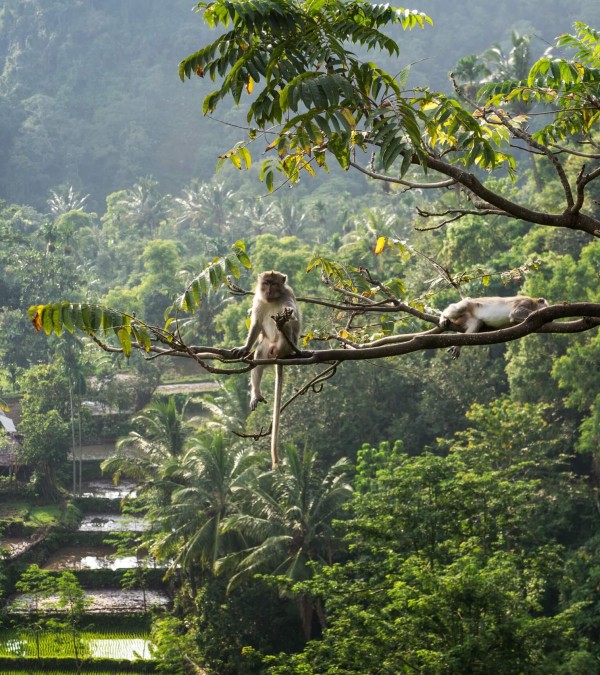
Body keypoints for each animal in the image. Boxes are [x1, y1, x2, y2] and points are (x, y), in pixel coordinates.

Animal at [231, 271, 302, 468]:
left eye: (274, 284)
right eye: (266, 283)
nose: (269, 291)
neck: (272, 300)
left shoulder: (287, 296)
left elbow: (291, 315)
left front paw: (287, 316)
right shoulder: (259, 300)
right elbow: (256, 324)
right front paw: (245, 347)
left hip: (286, 344)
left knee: (286, 327)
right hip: (266, 346)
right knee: (259, 358)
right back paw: (256, 392)